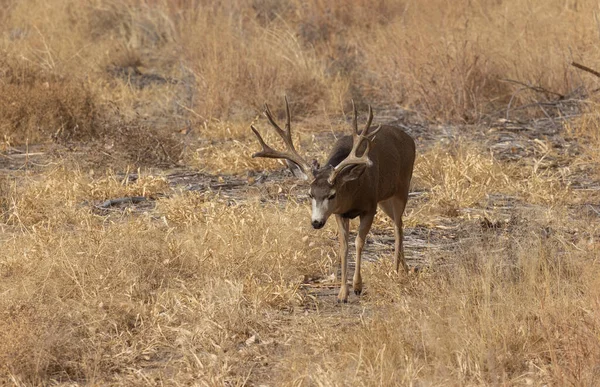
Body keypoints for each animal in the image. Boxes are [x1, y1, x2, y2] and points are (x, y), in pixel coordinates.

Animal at [251, 97, 414, 304]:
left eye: (332, 194)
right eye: (310, 194)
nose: (316, 222)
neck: (353, 191)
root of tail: (408, 137)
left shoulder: (369, 207)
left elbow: (359, 242)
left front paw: (357, 286)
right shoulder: (340, 213)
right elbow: (343, 247)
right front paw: (342, 293)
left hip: (402, 187)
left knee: (398, 226)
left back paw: (395, 269)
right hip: (385, 199)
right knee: (397, 222)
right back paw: (405, 269)